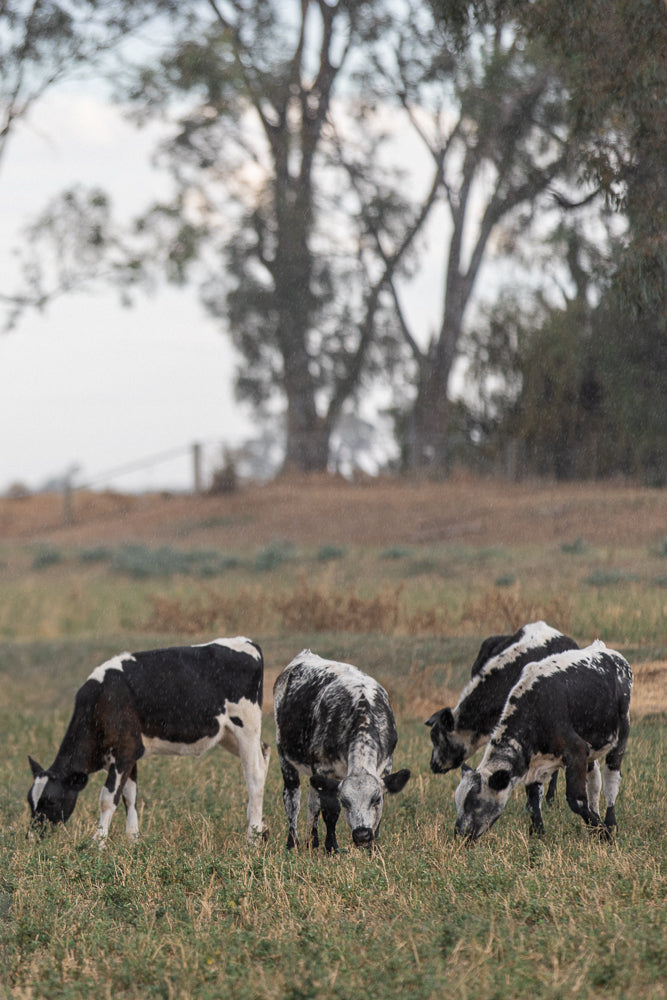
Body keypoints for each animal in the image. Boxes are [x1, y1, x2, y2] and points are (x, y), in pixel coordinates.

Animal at [27, 637, 271, 844]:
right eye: (30, 800)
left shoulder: (123, 752)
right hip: (228, 734)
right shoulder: (130, 754)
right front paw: (132, 841)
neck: (102, 699)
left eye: (50, 800)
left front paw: (98, 843)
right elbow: (130, 796)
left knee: (254, 775)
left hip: (246, 726)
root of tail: (247, 642)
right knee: (265, 752)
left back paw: (252, 838)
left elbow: (108, 798)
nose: (32, 837)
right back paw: (260, 827)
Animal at [273, 650, 410, 852]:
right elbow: (330, 810)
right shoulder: (323, 769)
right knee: (292, 800)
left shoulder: (385, 766)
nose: (362, 835)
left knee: (312, 803)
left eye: (376, 799)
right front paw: (332, 847)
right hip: (285, 757)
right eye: (345, 802)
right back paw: (293, 843)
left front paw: (373, 848)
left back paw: (312, 841)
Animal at [453, 641, 633, 842]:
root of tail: (606, 651)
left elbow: (577, 801)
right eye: (458, 802)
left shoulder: (576, 751)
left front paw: (604, 833)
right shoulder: (534, 762)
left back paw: (610, 823)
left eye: (474, 802)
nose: (459, 834)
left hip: (621, 734)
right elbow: (533, 801)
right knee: (594, 783)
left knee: (611, 779)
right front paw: (539, 835)